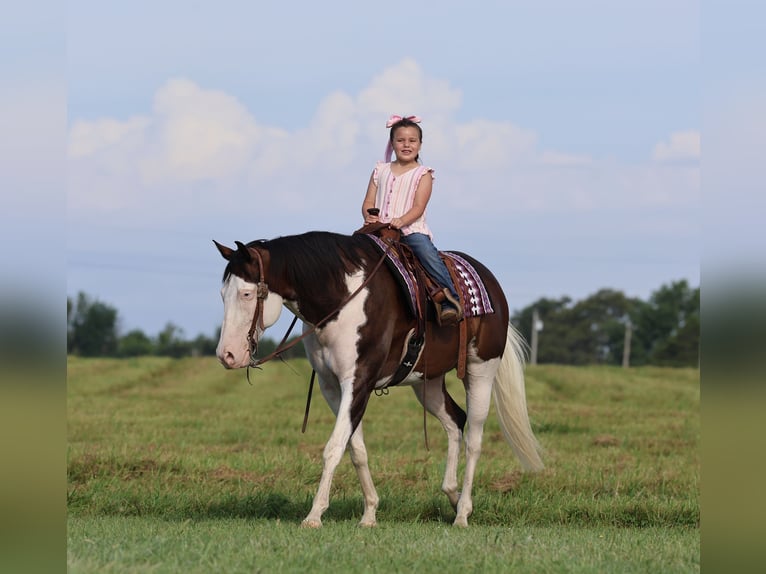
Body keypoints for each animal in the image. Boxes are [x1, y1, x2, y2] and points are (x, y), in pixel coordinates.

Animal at [214, 230, 543, 527]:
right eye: (222, 295)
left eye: (246, 294)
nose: (226, 355)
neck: (343, 297)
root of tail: (491, 284)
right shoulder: (331, 387)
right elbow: (355, 448)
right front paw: (370, 513)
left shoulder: (359, 380)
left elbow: (334, 447)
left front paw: (314, 515)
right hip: (428, 383)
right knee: (454, 421)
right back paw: (452, 494)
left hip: (481, 370)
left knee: (474, 437)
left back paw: (462, 513)